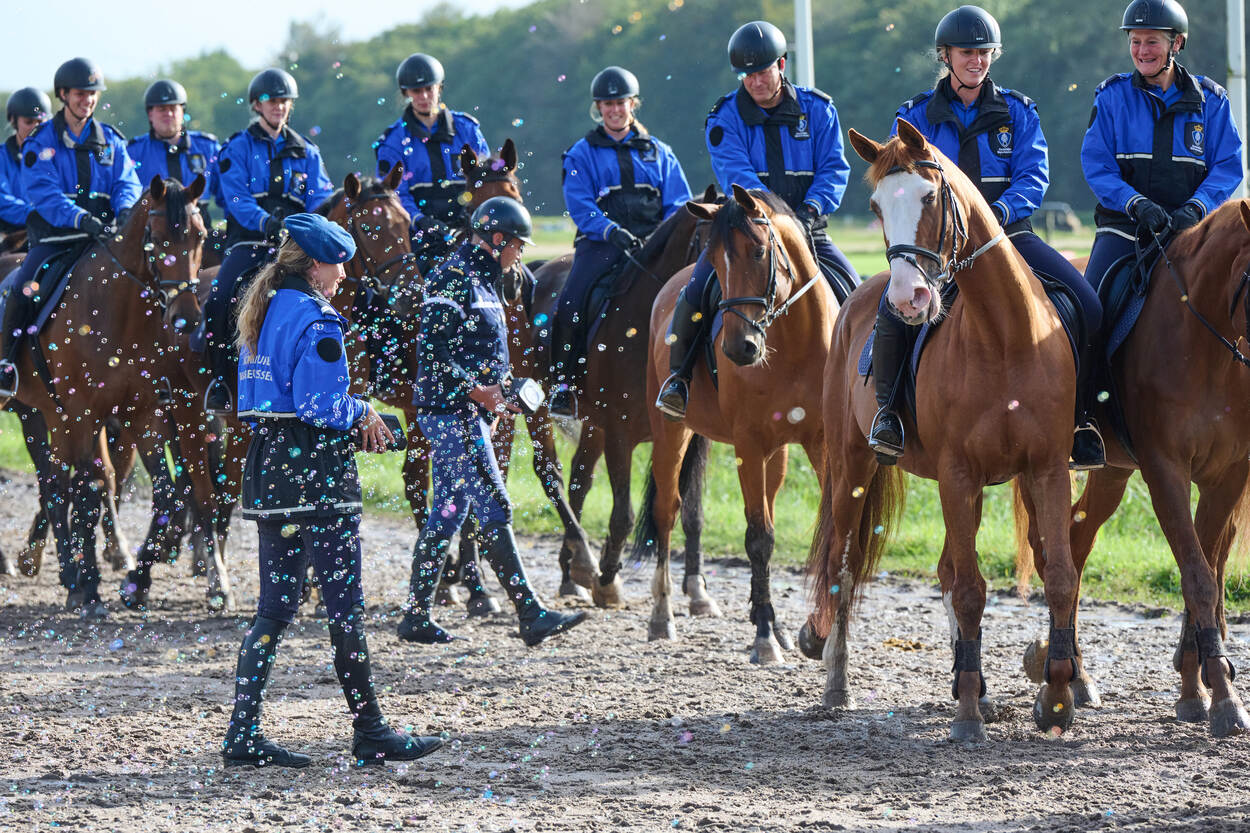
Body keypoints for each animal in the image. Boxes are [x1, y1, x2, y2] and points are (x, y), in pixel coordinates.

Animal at [525, 185, 720, 602]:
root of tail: (539, 271)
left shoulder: (690, 436)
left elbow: (691, 511)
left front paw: (696, 587)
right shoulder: (620, 433)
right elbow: (624, 515)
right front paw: (608, 577)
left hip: (592, 424)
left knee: (579, 480)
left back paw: (571, 570)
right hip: (536, 408)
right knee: (551, 472)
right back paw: (585, 561)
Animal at [640, 185, 835, 660]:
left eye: (759, 251)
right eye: (715, 260)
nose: (738, 348)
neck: (794, 342)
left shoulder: (821, 443)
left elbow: (830, 531)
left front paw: (816, 633)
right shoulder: (749, 445)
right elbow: (758, 539)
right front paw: (764, 637)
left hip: (777, 454)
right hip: (671, 431)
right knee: (667, 511)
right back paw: (662, 615)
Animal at [805, 120, 1080, 735]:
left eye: (930, 197)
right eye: (877, 207)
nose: (910, 299)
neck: (1005, 337)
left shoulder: (1047, 469)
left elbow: (1058, 576)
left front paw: (1055, 698)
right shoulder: (958, 474)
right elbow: (973, 591)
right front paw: (970, 714)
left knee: (948, 570)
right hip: (852, 467)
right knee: (842, 564)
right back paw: (837, 684)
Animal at [1015, 202, 1250, 740]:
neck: (1207, 347)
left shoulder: (1228, 476)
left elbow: (1207, 569)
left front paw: (1198, 686)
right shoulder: (1166, 472)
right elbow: (1199, 577)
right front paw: (1223, 698)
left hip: (1112, 473)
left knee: (1077, 546)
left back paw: (1077, 678)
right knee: (1053, 552)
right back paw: (1065, 676)